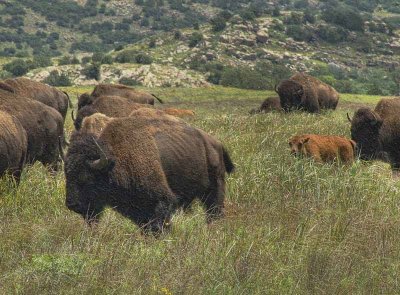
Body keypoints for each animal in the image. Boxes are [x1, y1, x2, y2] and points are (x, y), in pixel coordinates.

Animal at [64, 108, 234, 234]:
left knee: (214, 211)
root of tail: (216, 143)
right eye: (67, 174)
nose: (71, 204)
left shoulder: (162, 201)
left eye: (85, 177)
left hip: (214, 189)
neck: (116, 156)